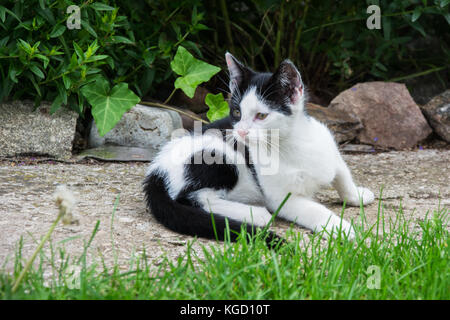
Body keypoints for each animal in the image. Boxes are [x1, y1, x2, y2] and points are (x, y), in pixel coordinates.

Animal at [143, 53, 372, 242]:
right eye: (236, 112)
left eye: (261, 115)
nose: (241, 132)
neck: (290, 144)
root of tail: (156, 169)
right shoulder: (280, 198)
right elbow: (312, 209)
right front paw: (339, 227)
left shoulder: (328, 147)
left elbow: (342, 176)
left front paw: (357, 195)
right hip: (218, 156)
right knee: (194, 198)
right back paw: (255, 214)